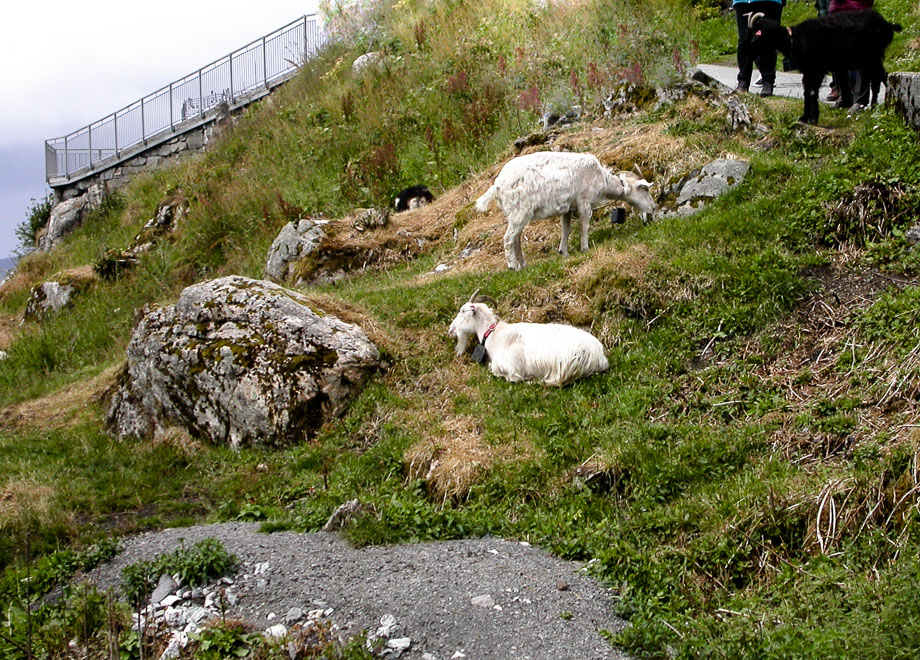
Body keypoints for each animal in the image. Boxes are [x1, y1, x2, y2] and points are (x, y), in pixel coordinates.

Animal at [448, 294, 608, 386]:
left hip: (562, 370)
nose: (450, 330)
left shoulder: (509, 366)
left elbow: (498, 371)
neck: (497, 335)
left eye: (462, 311)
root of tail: (597, 357)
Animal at [474, 151, 656, 270]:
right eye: (645, 189)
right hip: (520, 212)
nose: (653, 208)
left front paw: (564, 252)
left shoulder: (567, 207)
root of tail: (497, 186)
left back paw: (523, 265)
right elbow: (584, 225)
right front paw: (585, 248)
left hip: (516, 214)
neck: (601, 179)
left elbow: (566, 229)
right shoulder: (583, 200)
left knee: (516, 238)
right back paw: (512, 266)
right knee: (508, 238)